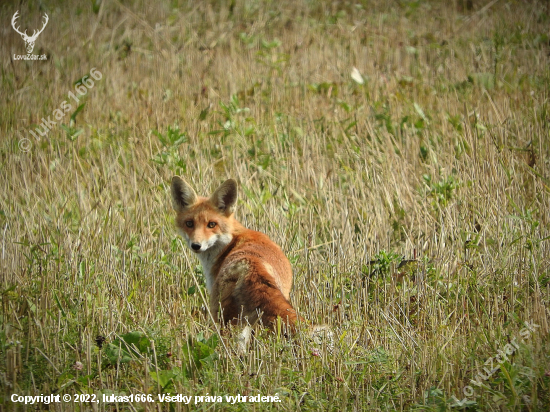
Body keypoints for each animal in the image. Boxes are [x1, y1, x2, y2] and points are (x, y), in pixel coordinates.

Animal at [171, 177, 302, 342]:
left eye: (211, 224)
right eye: (189, 223)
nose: (196, 245)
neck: (230, 242)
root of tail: (250, 264)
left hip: (223, 319)